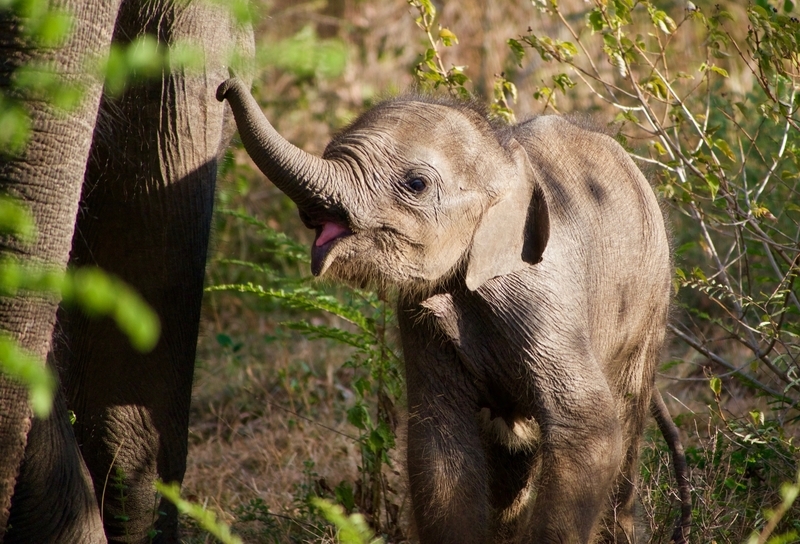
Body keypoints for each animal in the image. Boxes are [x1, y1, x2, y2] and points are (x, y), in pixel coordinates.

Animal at [219, 77, 680, 544]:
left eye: (416, 184)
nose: (224, 86)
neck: (505, 161)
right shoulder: (420, 317)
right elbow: (439, 443)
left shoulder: (546, 302)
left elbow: (588, 424)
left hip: (651, 304)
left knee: (627, 415)